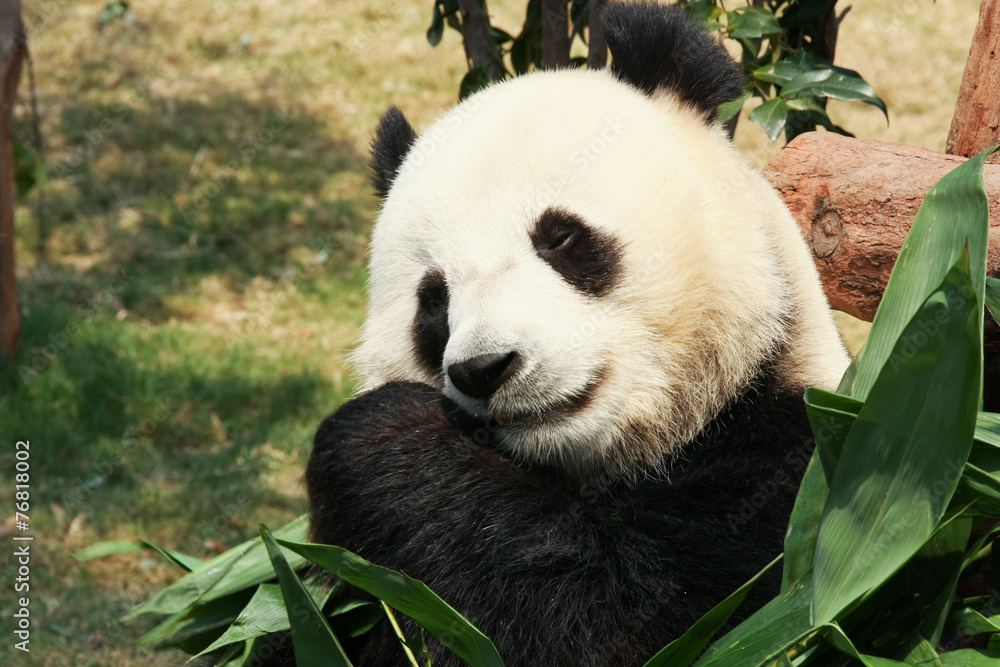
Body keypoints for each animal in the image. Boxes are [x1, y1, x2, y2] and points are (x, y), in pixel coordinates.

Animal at [299, 2, 848, 666]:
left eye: (560, 238)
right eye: (433, 300)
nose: (485, 368)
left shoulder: (788, 480)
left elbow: (614, 620)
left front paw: (383, 433)